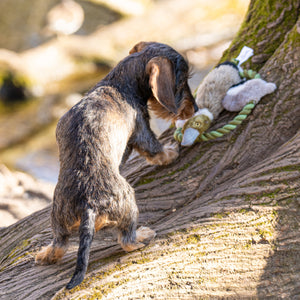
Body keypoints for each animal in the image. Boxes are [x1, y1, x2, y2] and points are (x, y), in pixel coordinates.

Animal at [35, 41, 198, 290]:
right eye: (181, 82)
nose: (195, 109)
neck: (117, 83)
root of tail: (88, 203)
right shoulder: (142, 131)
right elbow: (156, 150)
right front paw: (171, 152)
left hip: (58, 218)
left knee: (59, 243)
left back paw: (45, 255)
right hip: (128, 203)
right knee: (126, 240)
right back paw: (142, 236)